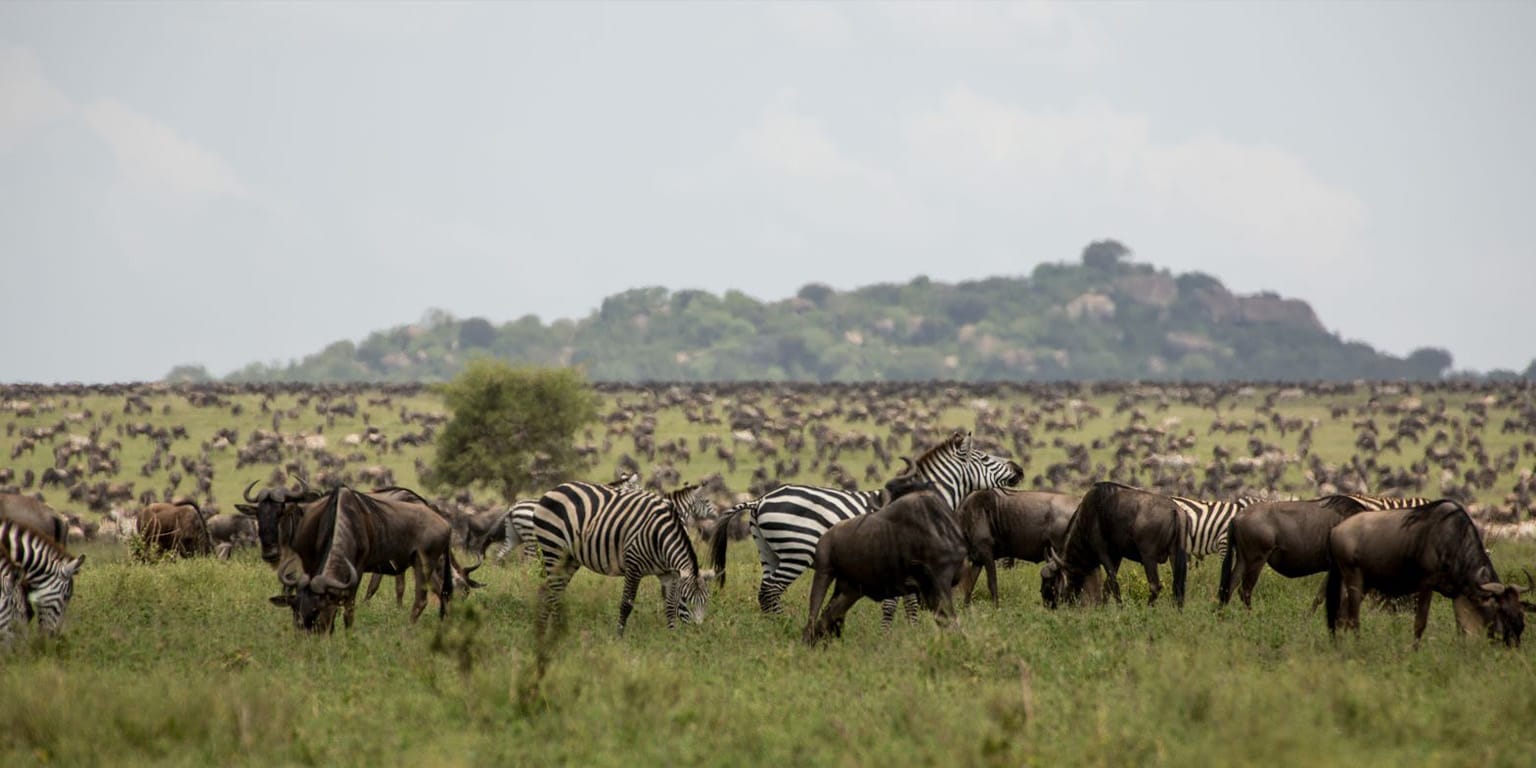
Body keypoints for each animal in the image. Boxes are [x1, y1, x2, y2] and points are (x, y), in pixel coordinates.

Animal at [532, 480, 712, 636]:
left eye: (706, 601)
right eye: (686, 599)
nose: (696, 632)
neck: (660, 536)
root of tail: (554, 489)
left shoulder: (668, 573)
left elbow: (670, 605)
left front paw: (671, 637)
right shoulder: (634, 566)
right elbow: (626, 604)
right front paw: (619, 637)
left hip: (569, 558)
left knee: (549, 590)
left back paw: (544, 630)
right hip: (553, 548)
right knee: (554, 592)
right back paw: (558, 630)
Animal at [712, 431, 1022, 619]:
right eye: (985, 458)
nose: (1019, 469)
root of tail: (760, 499)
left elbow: (907, 602)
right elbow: (901, 603)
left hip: (769, 552)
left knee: (765, 592)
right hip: (796, 550)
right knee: (772, 591)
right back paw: (782, 626)